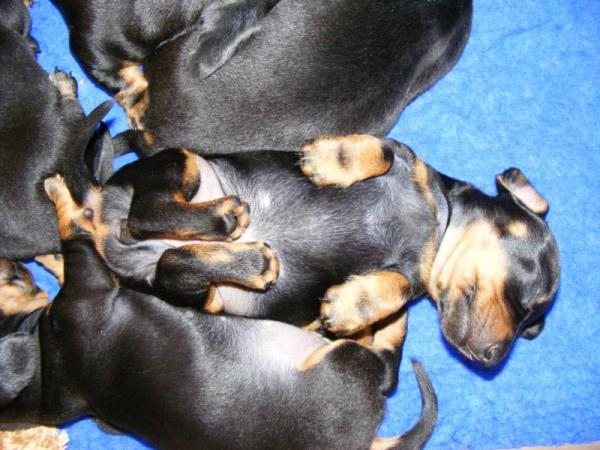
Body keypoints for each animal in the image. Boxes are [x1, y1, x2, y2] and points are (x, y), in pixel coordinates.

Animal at [0, 187, 438, 450]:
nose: (14, 264)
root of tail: (365, 439)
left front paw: (48, 256)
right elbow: (81, 234)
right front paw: (61, 193)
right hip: (345, 362)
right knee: (385, 365)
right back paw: (384, 314)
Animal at [65, 133, 560, 395]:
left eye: (530, 324)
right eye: (530, 294)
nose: (493, 358)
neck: (435, 227)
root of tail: (105, 223)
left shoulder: (407, 277)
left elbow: (396, 288)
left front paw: (350, 306)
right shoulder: (403, 154)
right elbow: (381, 150)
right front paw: (331, 158)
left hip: (203, 296)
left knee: (171, 259)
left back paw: (248, 259)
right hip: (184, 163)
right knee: (146, 215)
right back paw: (226, 220)